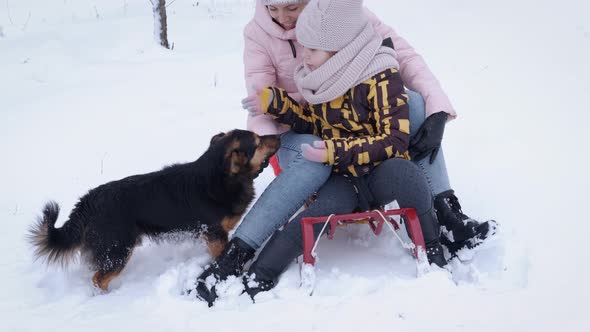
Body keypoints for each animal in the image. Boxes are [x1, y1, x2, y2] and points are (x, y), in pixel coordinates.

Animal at [29, 130, 282, 290]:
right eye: (258, 141)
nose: (279, 135)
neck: (219, 176)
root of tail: (88, 202)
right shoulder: (215, 234)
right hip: (117, 250)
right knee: (98, 279)